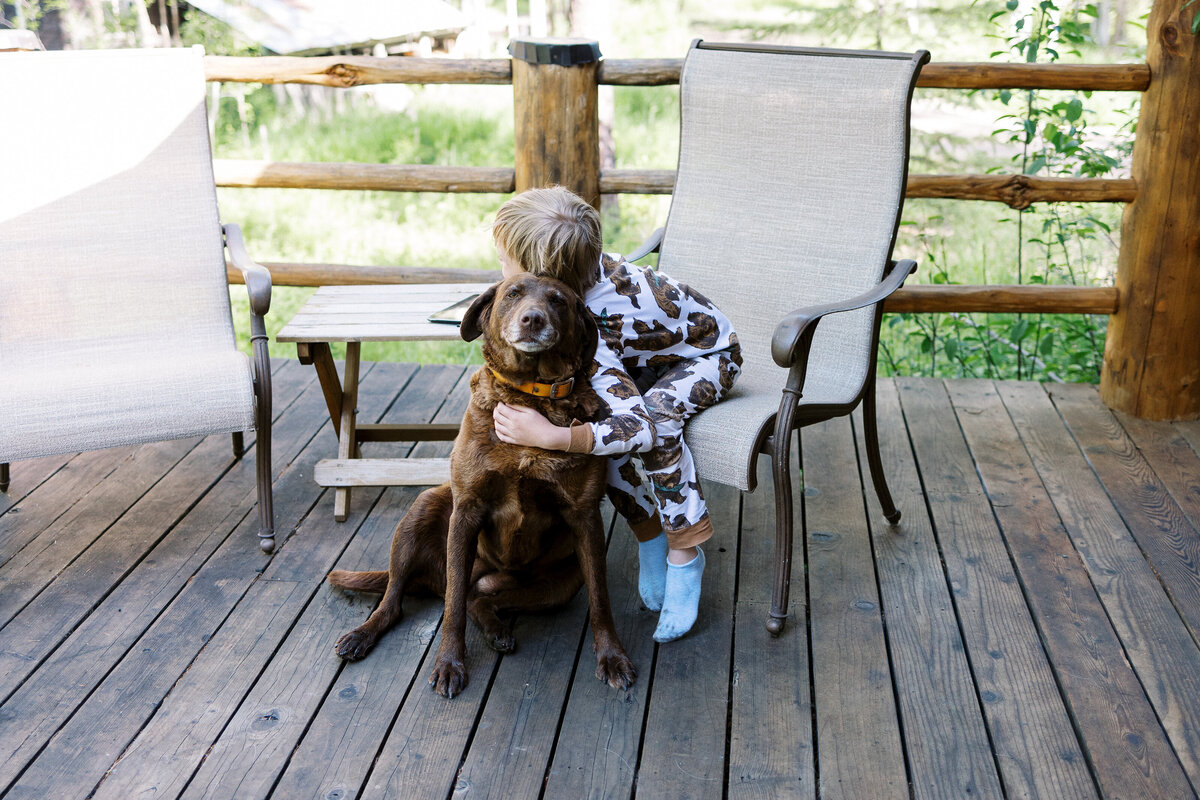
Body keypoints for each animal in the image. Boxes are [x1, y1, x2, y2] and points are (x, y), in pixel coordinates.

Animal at [324, 275, 633, 700]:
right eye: (513, 295)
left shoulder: (584, 518)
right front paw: (449, 664)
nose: (533, 319)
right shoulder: (466, 511)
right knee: (405, 598)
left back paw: (496, 628)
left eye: (558, 301)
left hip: (558, 585)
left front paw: (612, 656)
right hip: (424, 510)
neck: (530, 396)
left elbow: (601, 599)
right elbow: (451, 608)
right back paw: (362, 634)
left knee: (478, 598)